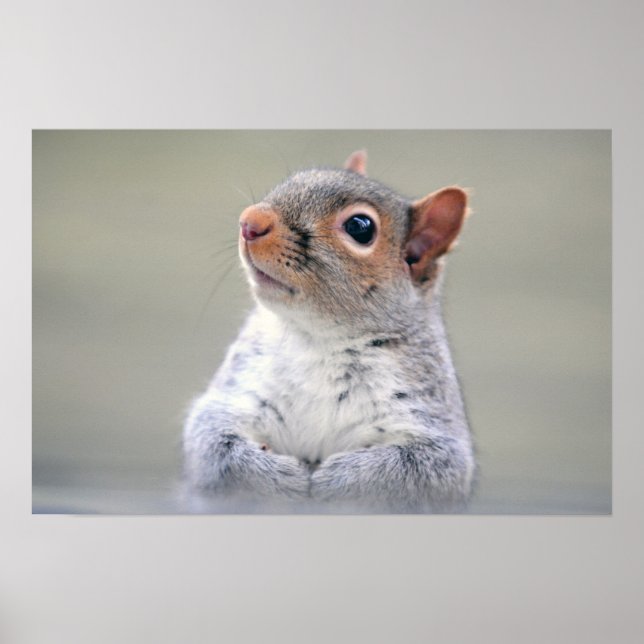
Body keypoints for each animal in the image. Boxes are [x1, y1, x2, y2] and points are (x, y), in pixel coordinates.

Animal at [183, 150, 475, 512]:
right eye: (293, 180)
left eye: (360, 227)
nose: (250, 221)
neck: (319, 339)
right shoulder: (238, 391)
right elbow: (211, 443)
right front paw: (276, 476)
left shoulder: (431, 422)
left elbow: (422, 470)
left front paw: (341, 480)